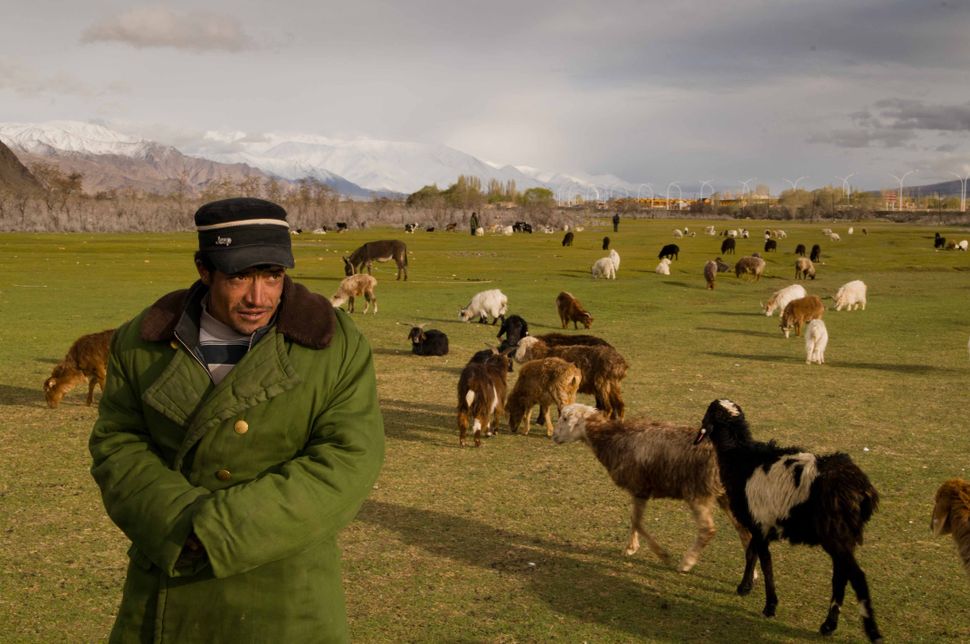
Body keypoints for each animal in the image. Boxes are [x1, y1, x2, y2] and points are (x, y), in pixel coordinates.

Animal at [548, 406, 752, 572]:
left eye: (564, 418)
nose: (554, 437)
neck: (611, 437)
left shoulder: (640, 487)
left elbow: (637, 521)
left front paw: (661, 554)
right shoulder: (638, 489)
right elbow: (634, 519)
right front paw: (631, 547)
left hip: (697, 492)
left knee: (708, 530)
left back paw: (686, 563)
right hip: (725, 495)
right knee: (743, 530)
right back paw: (753, 573)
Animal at [692, 400, 880, 640]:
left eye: (709, 414)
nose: (699, 430)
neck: (740, 457)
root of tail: (862, 489)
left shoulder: (761, 525)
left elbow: (765, 563)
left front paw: (770, 606)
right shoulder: (756, 523)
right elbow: (751, 553)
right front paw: (744, 587)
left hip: (836, 535)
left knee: (855, 576)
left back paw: (867, 629)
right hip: (845, 537)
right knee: (841, 576)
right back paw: (829, 625)